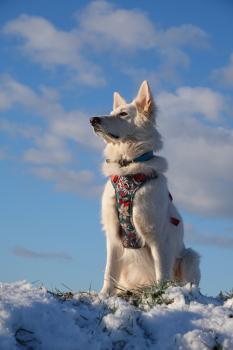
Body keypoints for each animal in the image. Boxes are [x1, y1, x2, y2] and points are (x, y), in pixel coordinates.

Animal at [90, 80, 199, 296]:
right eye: (111, 112)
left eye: (123, 114)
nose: (93, 120)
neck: (128, 168)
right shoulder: (113, 234)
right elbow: (109, 270)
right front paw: (104, 295)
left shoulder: (156, 234)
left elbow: (161, 272)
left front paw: (160, 293)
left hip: (190, 256)